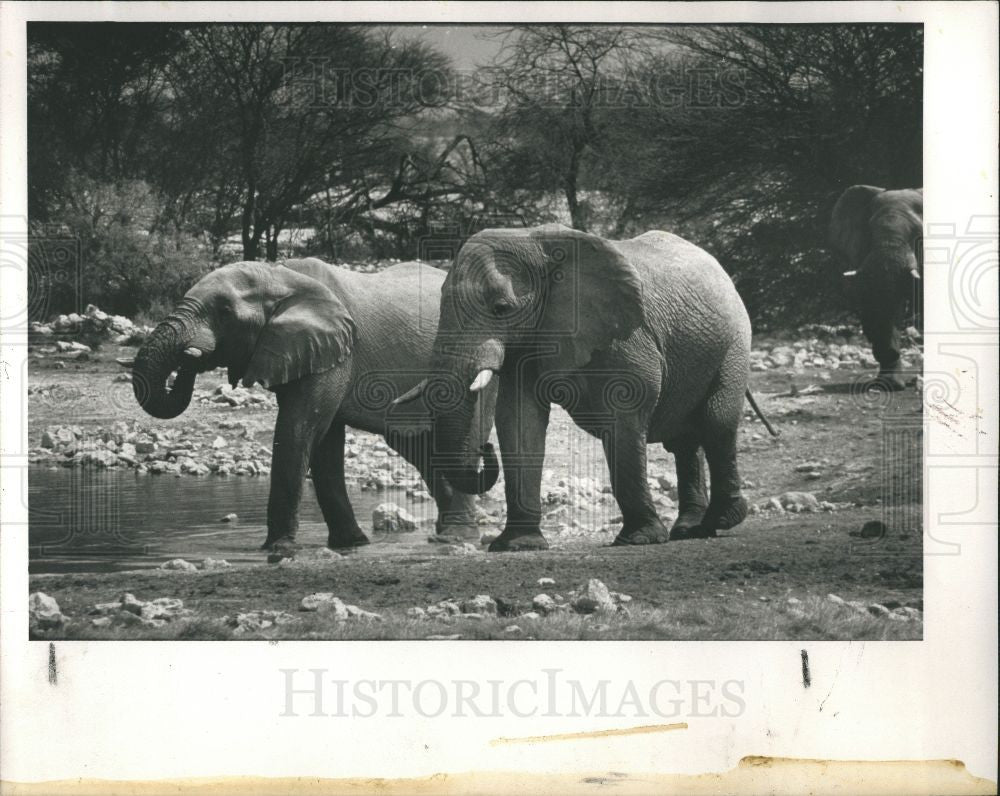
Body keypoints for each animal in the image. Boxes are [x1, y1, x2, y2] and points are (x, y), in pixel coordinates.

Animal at [124, 258, 492, 552]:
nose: (191, 354)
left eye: (224, 312)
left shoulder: (335, 351)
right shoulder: (307, 352)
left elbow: (298, 431)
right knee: (418, 447)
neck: (280, 276)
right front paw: (351, 544)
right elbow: (323, 444)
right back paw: (444, 535)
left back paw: (455, 537)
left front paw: (277, 548)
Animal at [394, 224, 776, 552]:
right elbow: (518, 420)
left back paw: (720, 521)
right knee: (685, 440)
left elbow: (624, 415)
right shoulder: (532, 337)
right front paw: (517, 546)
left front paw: (638, 540)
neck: (538, 242)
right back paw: (688, 530)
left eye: (501, 308)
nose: (484, 449)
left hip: (734, 344)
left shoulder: (625, 336)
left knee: (716, 423)